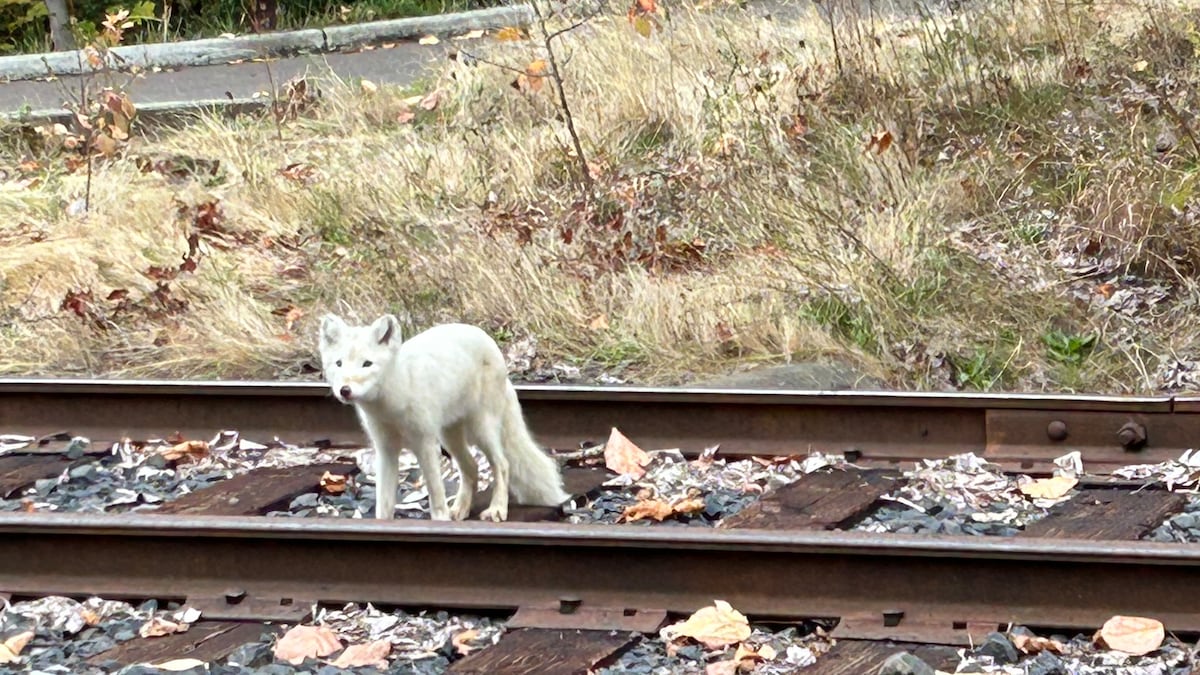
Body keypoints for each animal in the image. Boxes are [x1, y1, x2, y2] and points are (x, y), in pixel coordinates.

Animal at [317, 313, 571, 522]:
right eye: (339, 363)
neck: (392, 402)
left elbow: (436, 495)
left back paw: (497, 510)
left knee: (502, 464)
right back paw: (460, 510)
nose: (345, 390)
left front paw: (440, 522)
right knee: (472, 468)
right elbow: (384, 503)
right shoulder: (386, 449)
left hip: (481, 431)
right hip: (450, 436)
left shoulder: (425, 444)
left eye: (367, 364)